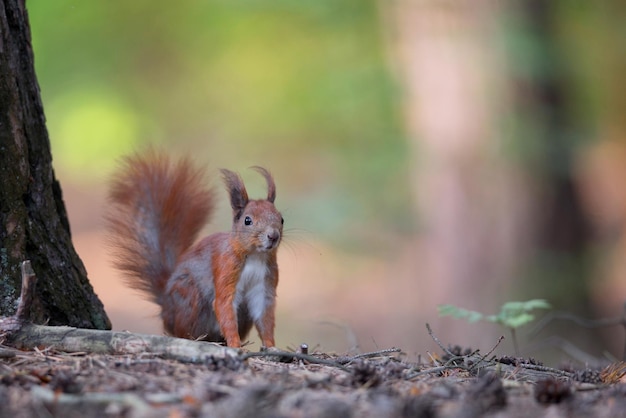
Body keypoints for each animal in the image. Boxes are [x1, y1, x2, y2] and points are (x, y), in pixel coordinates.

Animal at [106, 152, 282, 348]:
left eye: (281, 219)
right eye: (248, 220)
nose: (273, 236)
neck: (255, 256)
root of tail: (165, 307)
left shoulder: (265, 282)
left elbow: (264, 315)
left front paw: (271, 345)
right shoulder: (225, 266)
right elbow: (224, 305)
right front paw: (235, 345)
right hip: (188, 296)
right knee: (183, 330)